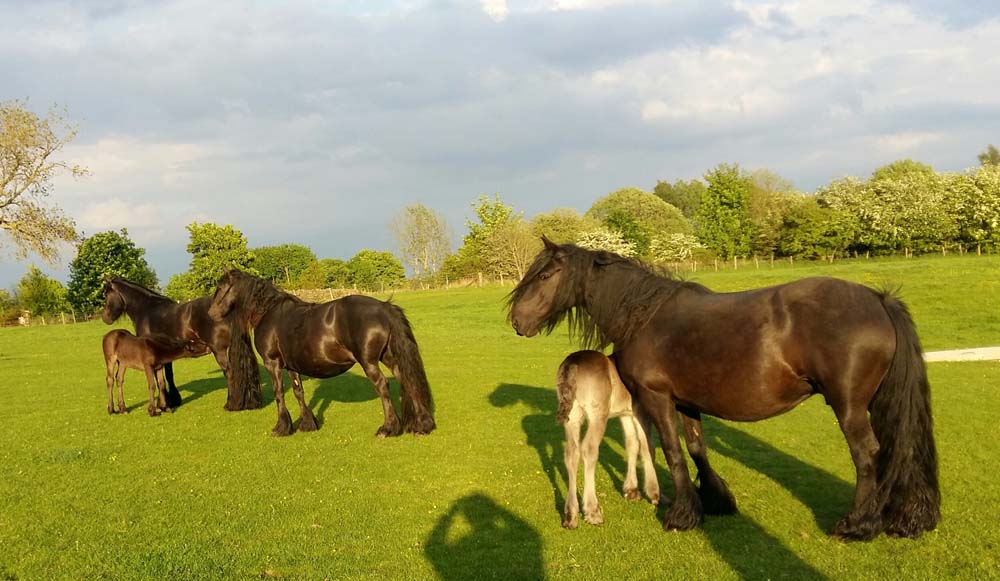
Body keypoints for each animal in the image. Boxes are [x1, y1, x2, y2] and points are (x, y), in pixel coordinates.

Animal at [102, 276, 262, 408]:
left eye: (106, 295)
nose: (105, 318)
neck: (146, 309)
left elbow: (160, 378)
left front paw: (165, 403)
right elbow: (168, 376)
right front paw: (173, 400)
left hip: (219, 350)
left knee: (229, 372)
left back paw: (231, 404)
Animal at [207, 268, 434, 436]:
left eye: (220, 287)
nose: (210, 314)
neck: (268, 312)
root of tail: (384, 307)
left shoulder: (272, 363)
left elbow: (279, 393)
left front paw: (282, 427)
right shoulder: (291, 366)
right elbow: (298, 392)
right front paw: (307, 424)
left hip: (369, 361)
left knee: (383, 386)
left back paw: (388, 428)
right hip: (389, 357)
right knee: (407, 380)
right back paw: (421, 425)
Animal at [508, 237, 936, 540]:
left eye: (544, 276)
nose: (516, 320)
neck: (644, 315)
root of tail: (879, 300)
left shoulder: (657, 398)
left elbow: (672, 451)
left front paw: (681, 515)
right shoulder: (686, 402)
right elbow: (697, 449)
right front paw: (715, 500)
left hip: (848, 406)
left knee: (868, 455)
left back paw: (857, 524)